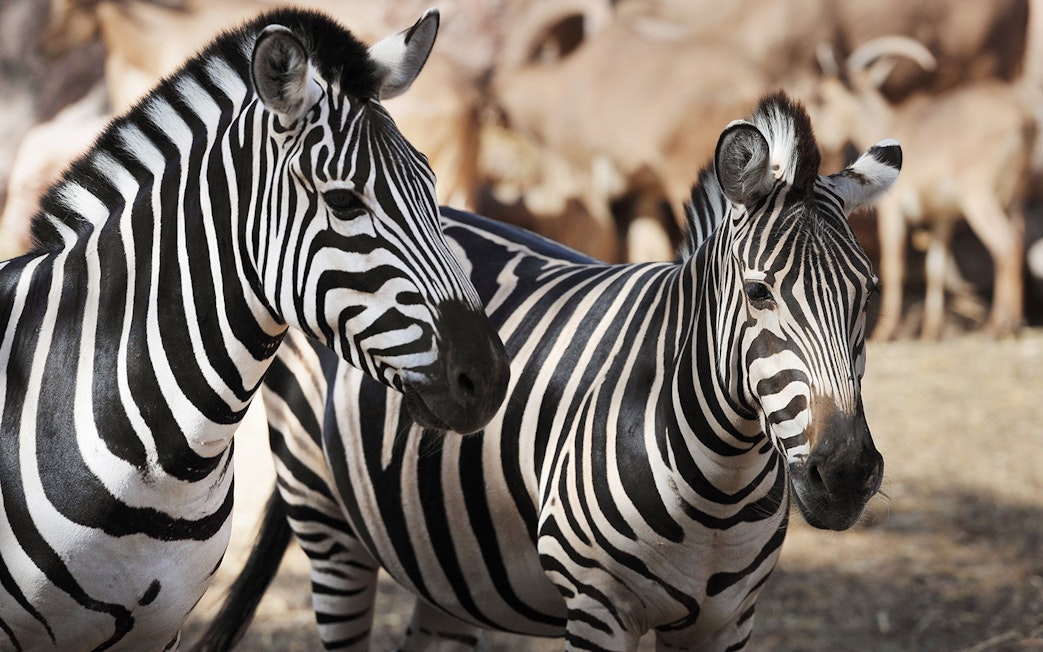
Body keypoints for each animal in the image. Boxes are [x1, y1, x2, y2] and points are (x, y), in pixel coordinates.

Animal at [198, 93, 901, 650]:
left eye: (867, 296)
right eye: (758, 293)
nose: (845, 473)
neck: (720, 484)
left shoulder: (725, 620)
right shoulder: (599, 607)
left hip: (448, 557)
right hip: (324, 518)